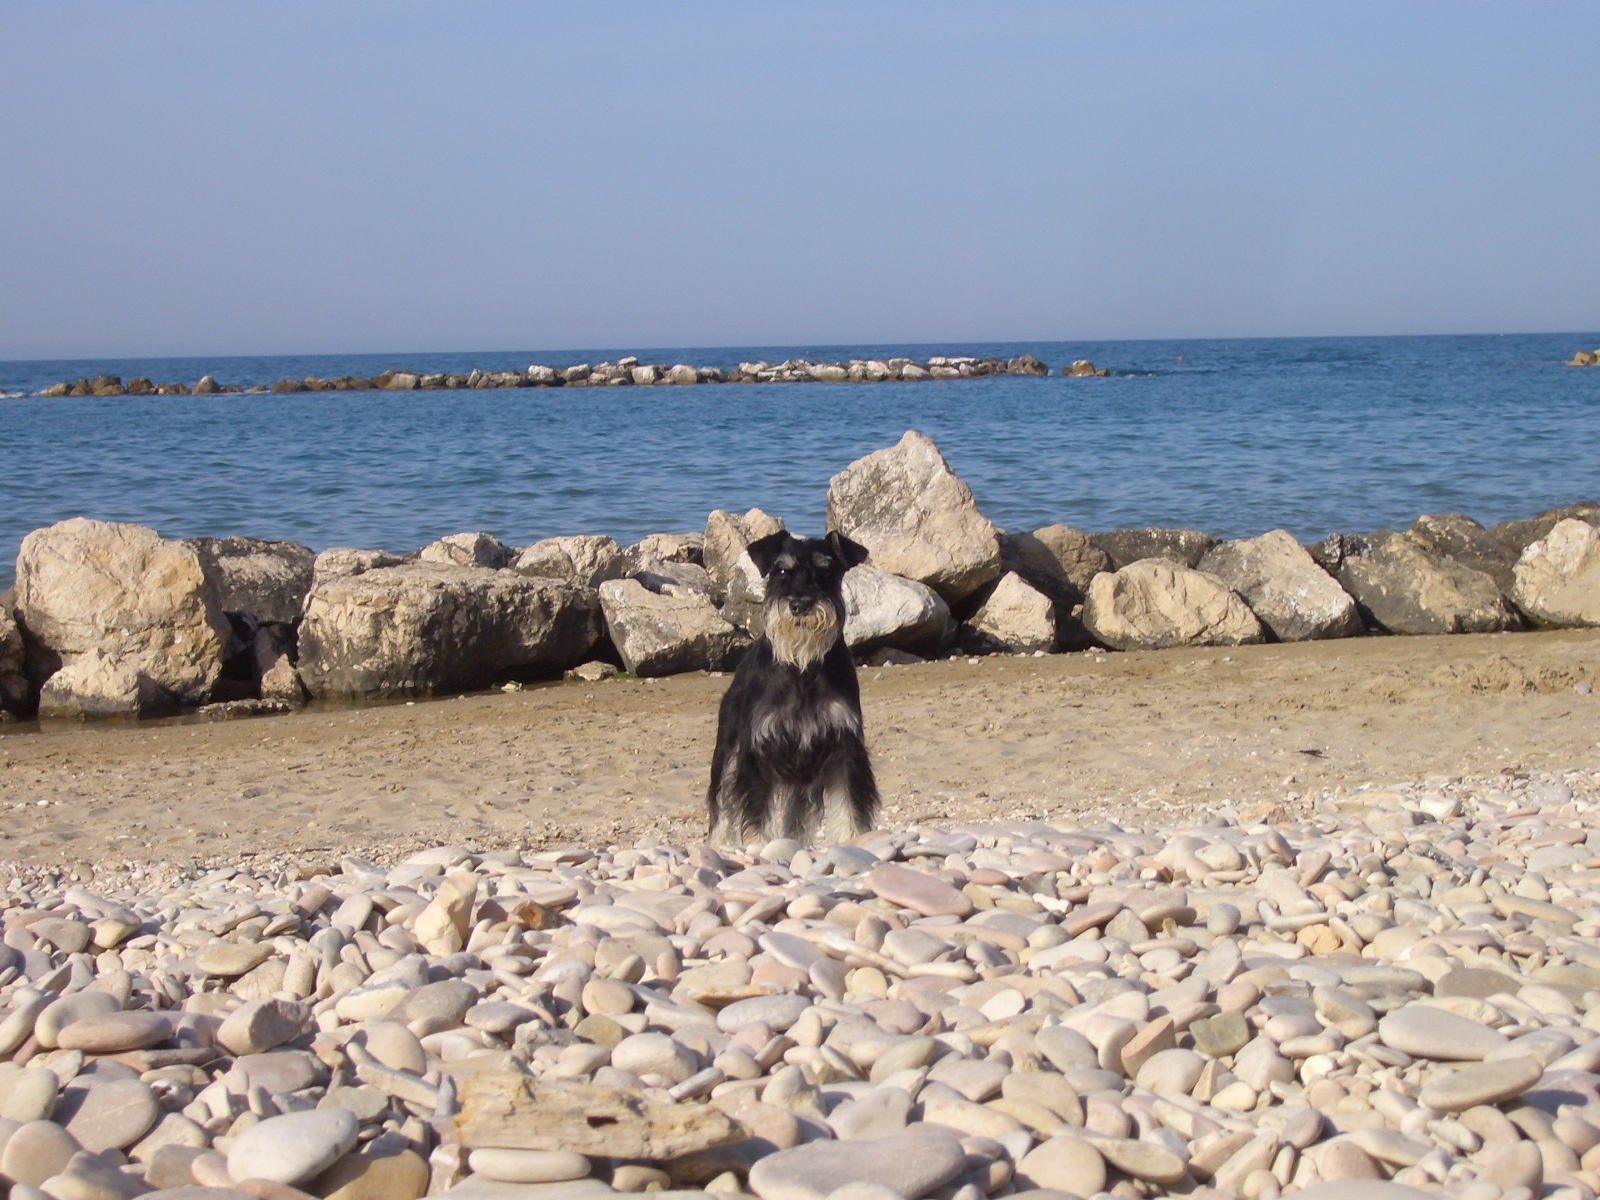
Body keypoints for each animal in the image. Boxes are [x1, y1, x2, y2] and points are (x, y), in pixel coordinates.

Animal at [707, 530, 879, 848]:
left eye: (826, 571)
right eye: (782, 571)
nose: (800, 605)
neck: (802, 668)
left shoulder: (846, 746)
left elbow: (850, 803)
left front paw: (854, 839)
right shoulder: (755, 752)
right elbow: (755, 808)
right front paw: (759, 844)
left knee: (798, 814)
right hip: (728, 755)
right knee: (722, 806)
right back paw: (719, 845)